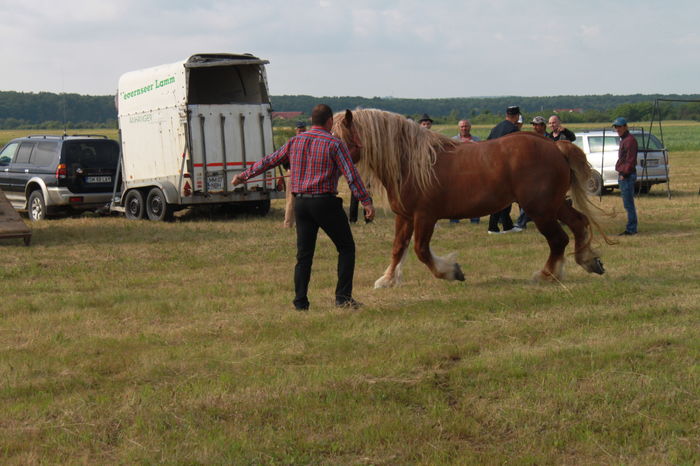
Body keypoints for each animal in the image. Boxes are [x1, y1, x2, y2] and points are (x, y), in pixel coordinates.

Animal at [330, 109, 608, 288]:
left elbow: (421, 250)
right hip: (554, 205)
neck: (412, 163)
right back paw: (588, 261)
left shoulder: (425, 217)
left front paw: (452, 271)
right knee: (578, 224)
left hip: (540, 209)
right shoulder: (405, 217)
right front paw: (387, 280)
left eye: (339, 137)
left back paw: (546, 274)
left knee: (559, 239)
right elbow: (399, 248)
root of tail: (554, 146)